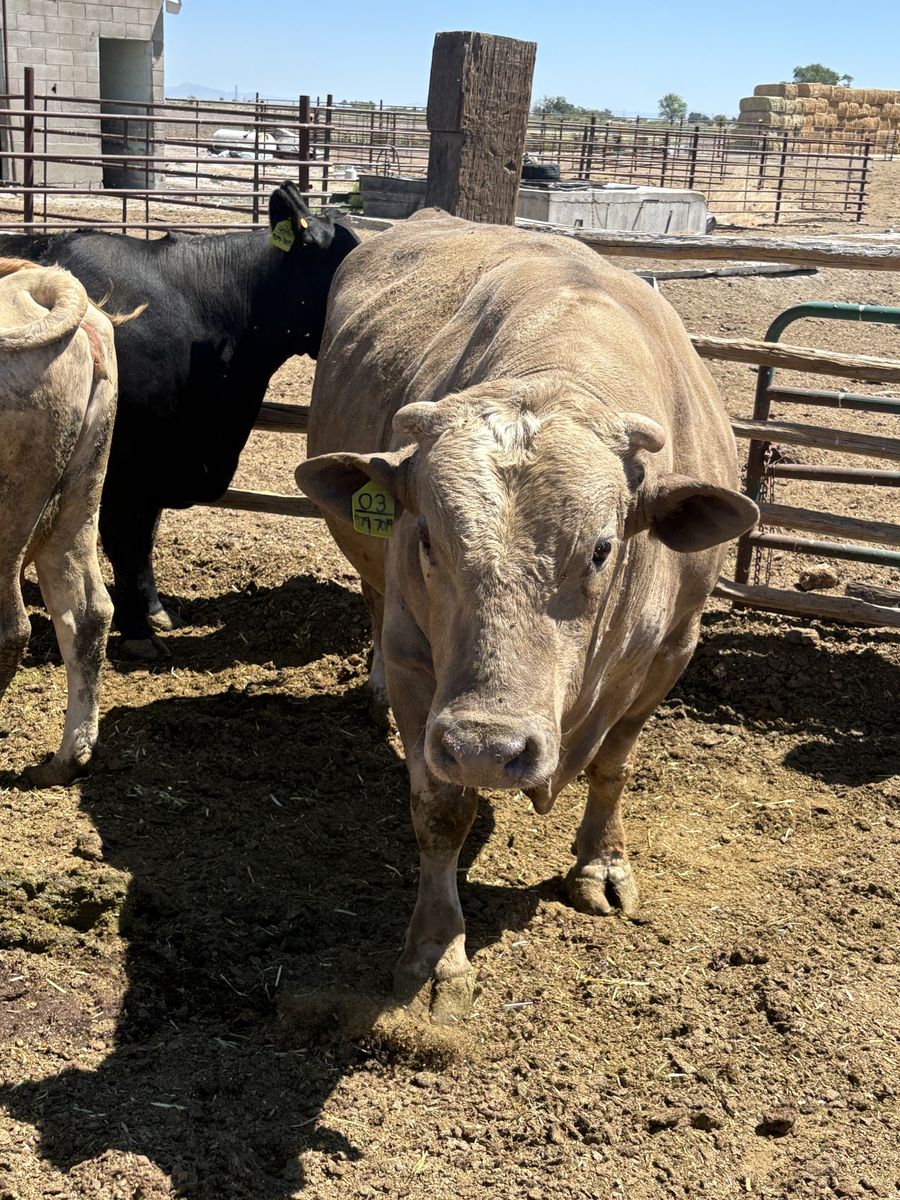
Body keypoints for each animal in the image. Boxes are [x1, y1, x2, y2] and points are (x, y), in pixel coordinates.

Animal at [0, 183, 358, 658]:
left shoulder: (156, 466)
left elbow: (145, 540)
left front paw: (155, 610)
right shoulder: (127, 466)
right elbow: (124, 540)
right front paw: (137, 630)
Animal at [295, 210, 759, 1024]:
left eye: (603, 548)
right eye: (428, 537)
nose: (489, 746)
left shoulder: (672, 651)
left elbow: (614, 762)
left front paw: (601, 864)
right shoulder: (420, 664)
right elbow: (440, 809)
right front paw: (436, 952)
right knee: (374, 600)